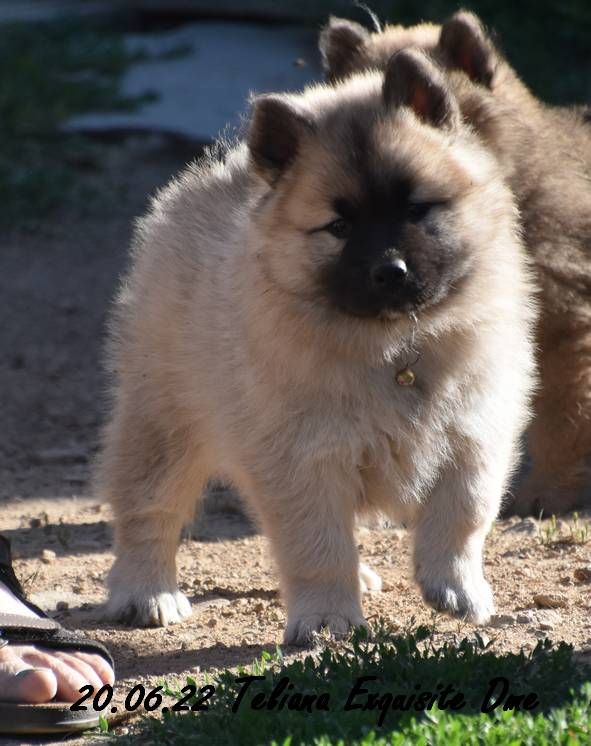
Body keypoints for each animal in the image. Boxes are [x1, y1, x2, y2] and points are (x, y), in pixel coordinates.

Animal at [99, 50, 540, 640]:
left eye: (417, 209)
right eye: (339, 226)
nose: (391, 270)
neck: (393, 345)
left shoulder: (474, 436)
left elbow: (462, 517)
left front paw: (456, 587)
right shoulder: (306, 458)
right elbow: (318, 547)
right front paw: (329, 617)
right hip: (164, 423)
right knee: (148, 510)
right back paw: (146, 592)